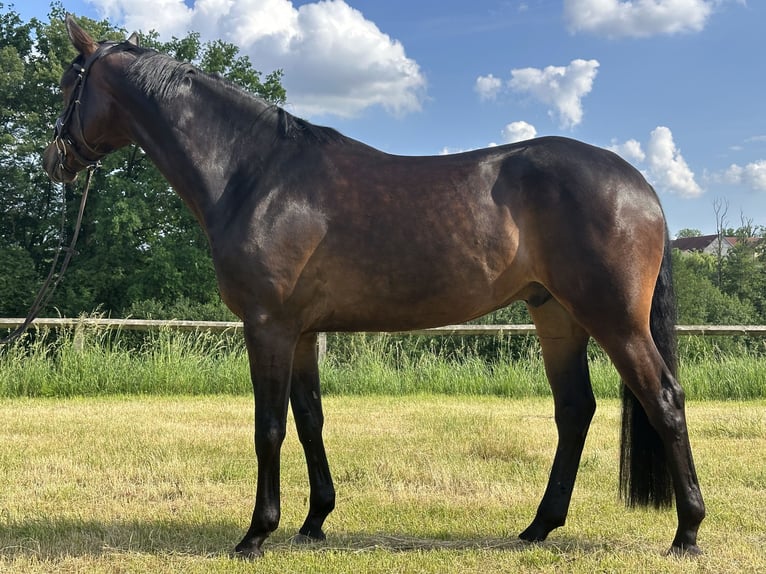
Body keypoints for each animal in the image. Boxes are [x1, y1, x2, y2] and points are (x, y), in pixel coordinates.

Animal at [43, 16, 705, 558]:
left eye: (69, 84)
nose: (54, 161)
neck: (255, 175)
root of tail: (638, 184)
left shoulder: (267, 325)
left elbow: (269, 426)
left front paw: (257, 532)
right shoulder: (302, 331)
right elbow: (309, 418)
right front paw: (314, 521)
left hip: (613, 318)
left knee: (664, 400)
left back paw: (687, 532)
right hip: (556, 315)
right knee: (575, 410)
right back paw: (538, 527)